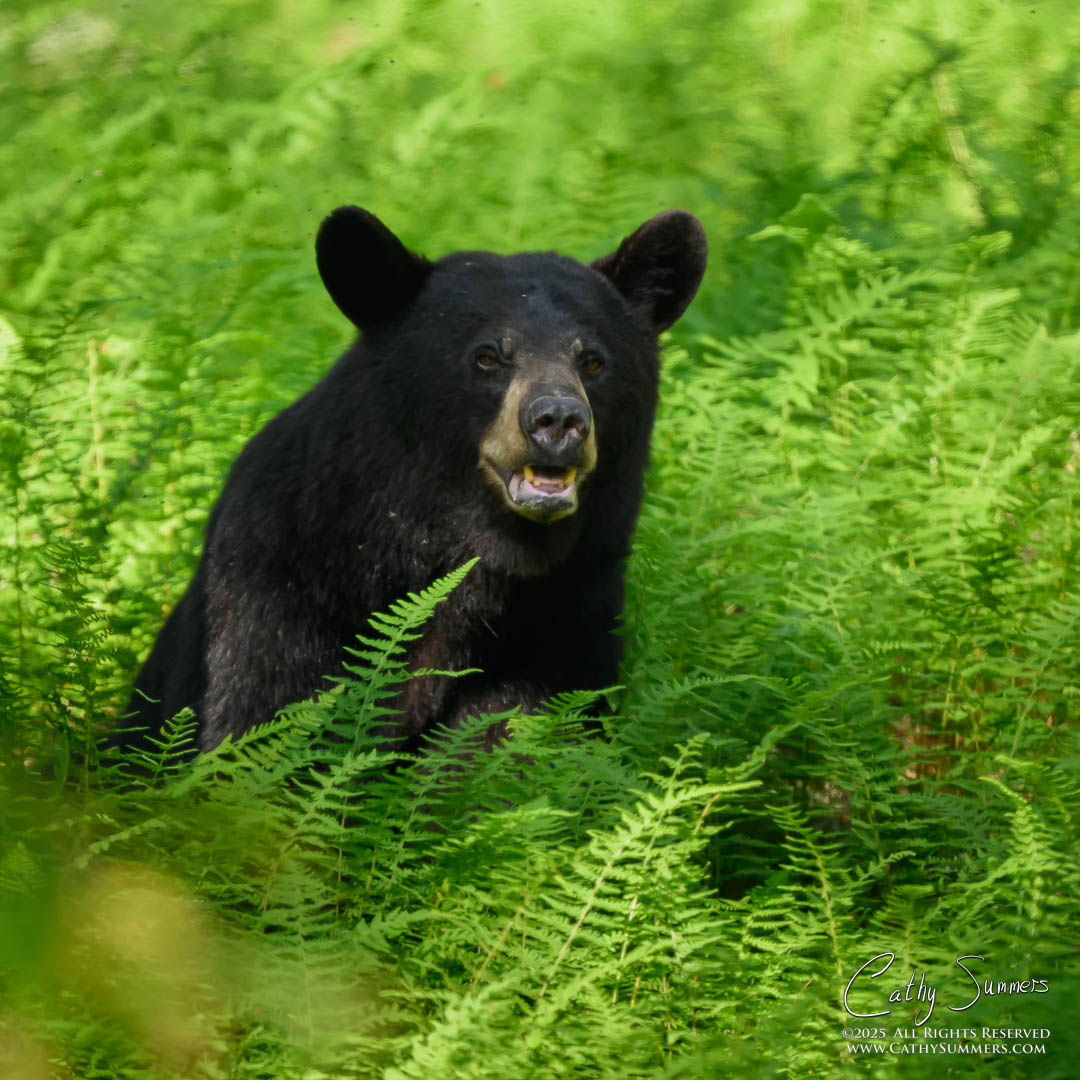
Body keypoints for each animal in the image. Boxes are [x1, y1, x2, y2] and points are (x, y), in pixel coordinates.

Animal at [124, 206, 707, 754]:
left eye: (592, 361)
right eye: (487, 357)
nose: (558, 420)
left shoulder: (568, 615)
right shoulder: (276, 593)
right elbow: (258, 722)